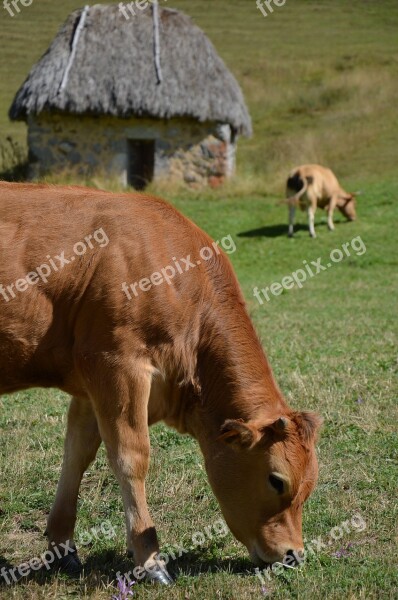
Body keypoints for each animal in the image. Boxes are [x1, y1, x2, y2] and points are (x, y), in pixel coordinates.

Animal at [0, 182, 322, 580]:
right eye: (277, 480)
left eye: (310, 484)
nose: (294, 554)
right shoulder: (117, 365)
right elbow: (131, 457)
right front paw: (150, 560)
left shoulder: (90, 386)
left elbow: (77, 452)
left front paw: (62, 547)